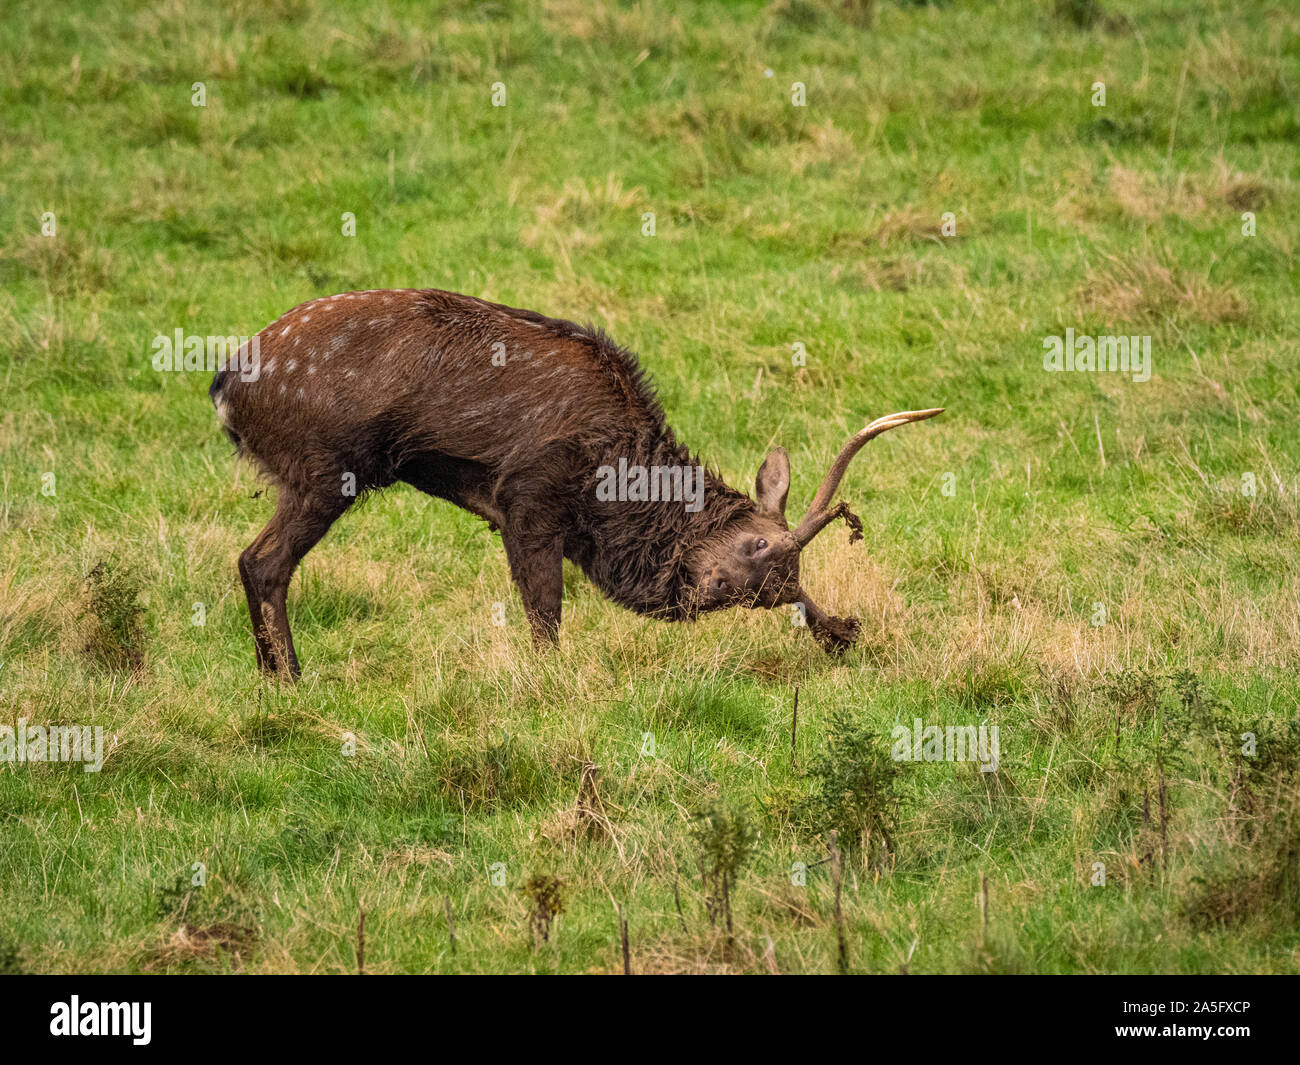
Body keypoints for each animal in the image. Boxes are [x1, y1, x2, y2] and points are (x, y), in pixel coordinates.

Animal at [209, 288, 942, 677]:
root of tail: (223, 386)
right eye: (755, 547)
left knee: (254, 559)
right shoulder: (526, 497)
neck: (613, 491)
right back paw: (291, 677)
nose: (703, 589)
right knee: (261, 560)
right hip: (326, 467)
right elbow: (545, 614)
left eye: (771, 594)